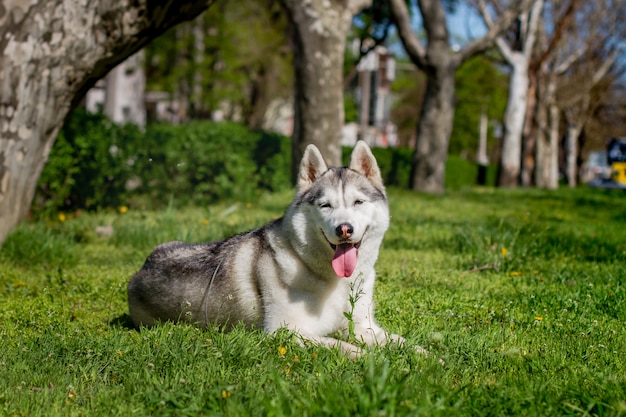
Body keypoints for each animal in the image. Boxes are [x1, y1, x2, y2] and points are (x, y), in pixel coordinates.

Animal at [128, 141, 404, 356]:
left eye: (358, 202)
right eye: (326, 205)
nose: (344, 229)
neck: (336, 281)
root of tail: (143, 267)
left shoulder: (363, 326)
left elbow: (400, 341)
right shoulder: (286, 330)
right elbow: (346, 347)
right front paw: (373, 359)